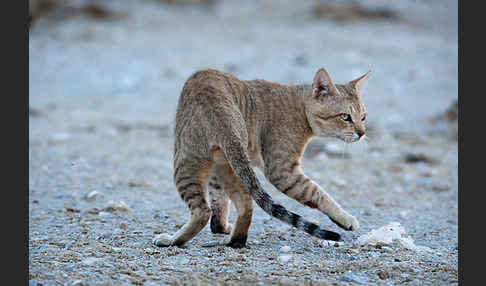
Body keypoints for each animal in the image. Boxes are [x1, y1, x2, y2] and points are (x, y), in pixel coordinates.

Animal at [154, 66, 370, 248]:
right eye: (345, 117)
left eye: (363, 117)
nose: (362, 133)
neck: (300, 107)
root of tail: (221, 111)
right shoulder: (280, 170)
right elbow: (318, 192)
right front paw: (345, 218)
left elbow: (219, 198)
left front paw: (220, 227)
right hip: (215, 162)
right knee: (232, 205)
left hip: (210, 162)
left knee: (225, 206)